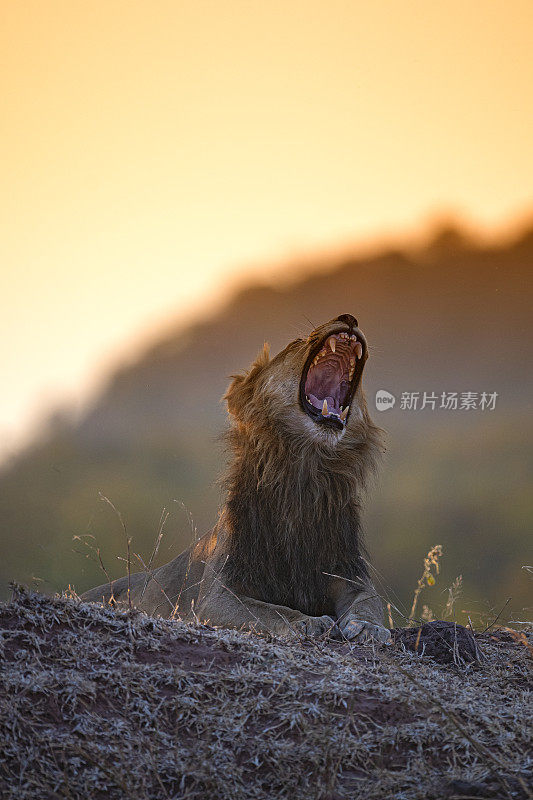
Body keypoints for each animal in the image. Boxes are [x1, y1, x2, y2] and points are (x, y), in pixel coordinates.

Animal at [83, 312, 390, 644]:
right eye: (296, 342)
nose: (349, 317)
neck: (304, 473)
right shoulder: (217, 594)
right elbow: (269, 611)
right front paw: (307, 622)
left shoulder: (349, 574)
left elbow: (369, 603)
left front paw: (370, 627)